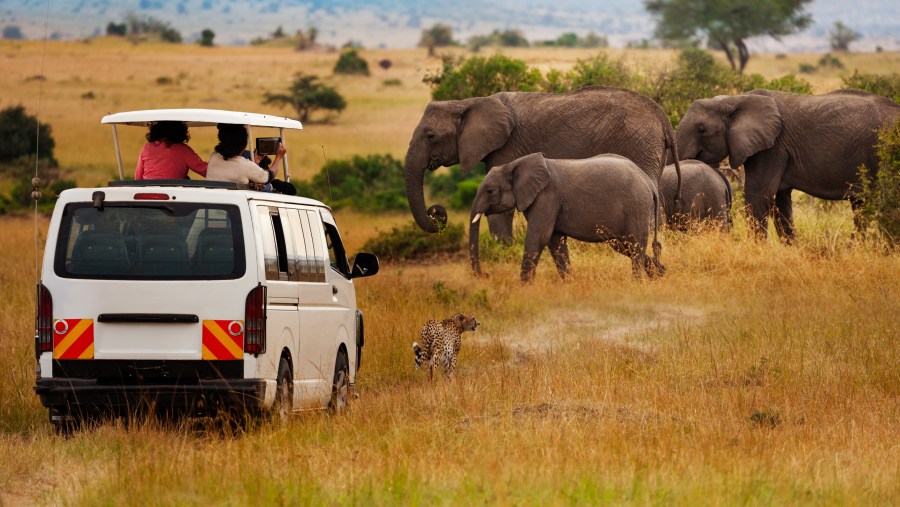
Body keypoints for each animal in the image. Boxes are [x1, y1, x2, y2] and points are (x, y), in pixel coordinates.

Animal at [402, 88, 684, 252]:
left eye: (430, 135)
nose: (437, 211)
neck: (467, 103)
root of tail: (662, 118)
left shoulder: (507, 147)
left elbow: (501, 210)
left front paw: (504, 253)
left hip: (639, 144)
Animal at [468, 153, 664, 284]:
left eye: (490, 191)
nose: (485, 275)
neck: (513, 164)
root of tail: (649, 182)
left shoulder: (546, 197)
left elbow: (538, 237)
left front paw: (524, 288)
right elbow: (555, 242)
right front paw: (569, 284)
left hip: (636, 206)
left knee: (634, 244)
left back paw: (638, 282)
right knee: (625, 245)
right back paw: (660, 274)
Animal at [680, 89, 896, 240]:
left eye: (701, 129)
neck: (733, 100)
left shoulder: (773, 147)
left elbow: (757, 195)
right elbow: (780, 201)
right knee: (861, 206)